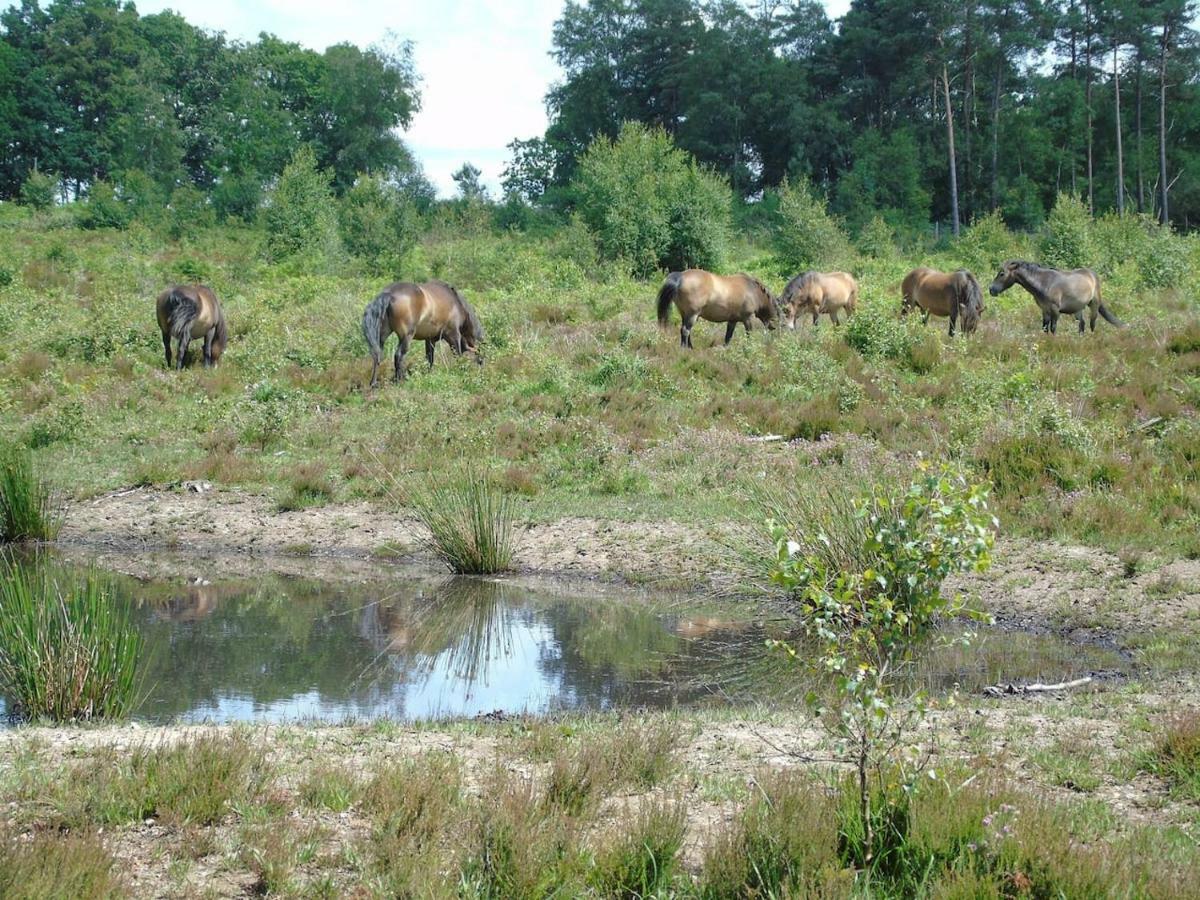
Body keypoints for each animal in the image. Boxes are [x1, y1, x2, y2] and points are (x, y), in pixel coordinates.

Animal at [988, 260, 1118, 336]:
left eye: (1002, 274)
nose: (991, 289)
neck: (1045, 283)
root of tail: (1092, 275)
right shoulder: (1045, 310)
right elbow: (1044, 328)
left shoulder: (1055, 310)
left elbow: (1053, 328)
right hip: (1077, 309)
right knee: (1082, 324)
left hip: (1094, 305)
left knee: (1092, 323)